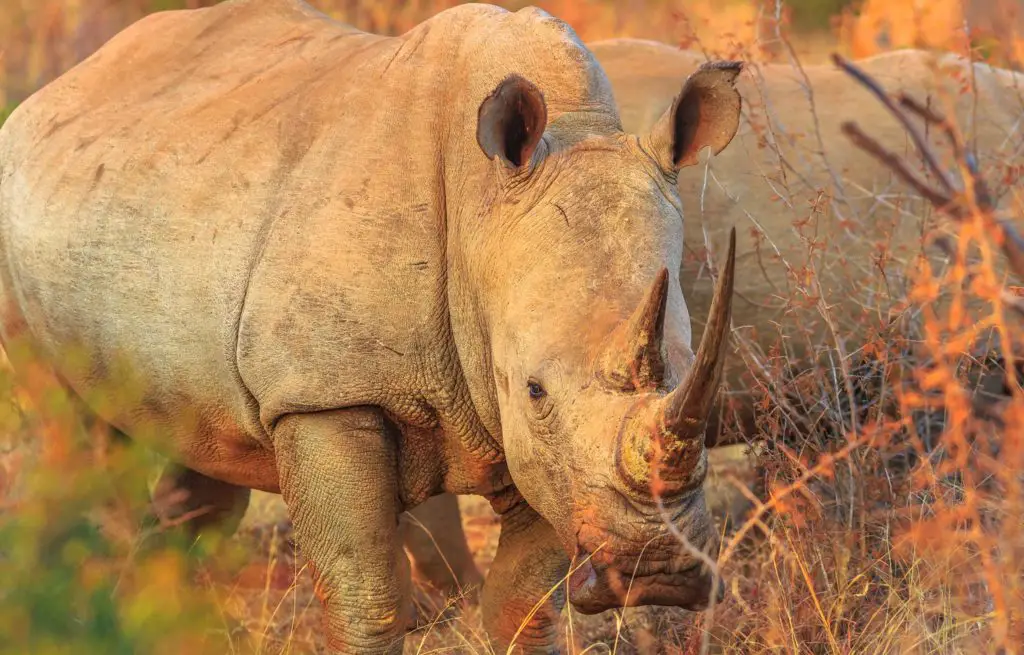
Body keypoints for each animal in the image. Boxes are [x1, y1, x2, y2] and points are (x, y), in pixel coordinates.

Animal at [0, 1, 746, 652]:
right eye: (536, 390)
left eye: (694, 369)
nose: (659, 571)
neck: (483, 201)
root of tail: (58, 89)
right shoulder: (324, 393)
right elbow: (367, 593)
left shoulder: (540, 446)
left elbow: (524, 603)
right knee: (71, 434)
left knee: (198, 459)